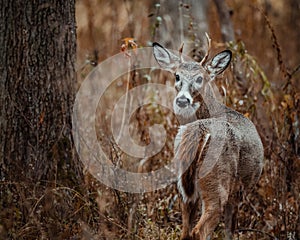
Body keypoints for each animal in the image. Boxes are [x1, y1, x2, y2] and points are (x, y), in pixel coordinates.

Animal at [154, 36, 264, 240]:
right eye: (177, 76)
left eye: (200, 78)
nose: (182, 100)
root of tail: (201, 131)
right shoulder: (238, 191)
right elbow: (230, 230)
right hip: (217, 182)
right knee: (200, 230)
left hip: (184, 187)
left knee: (186, 231)